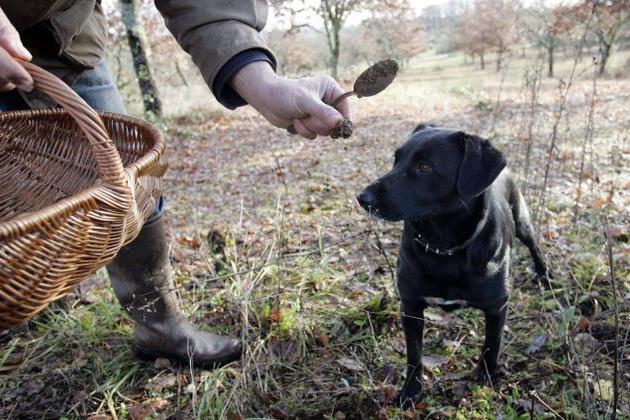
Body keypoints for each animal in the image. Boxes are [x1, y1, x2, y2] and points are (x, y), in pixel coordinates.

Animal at [358, 124, 552, 406]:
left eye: (425, 167)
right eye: (396, 159)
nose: (363, 197)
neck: (445, 248)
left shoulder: (497, 306)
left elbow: (491, 346)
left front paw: (486, 379)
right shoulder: (411, 306)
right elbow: (414, 355)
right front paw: (411, 391)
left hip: (522, 220)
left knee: (534, 246)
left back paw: (544, 276)